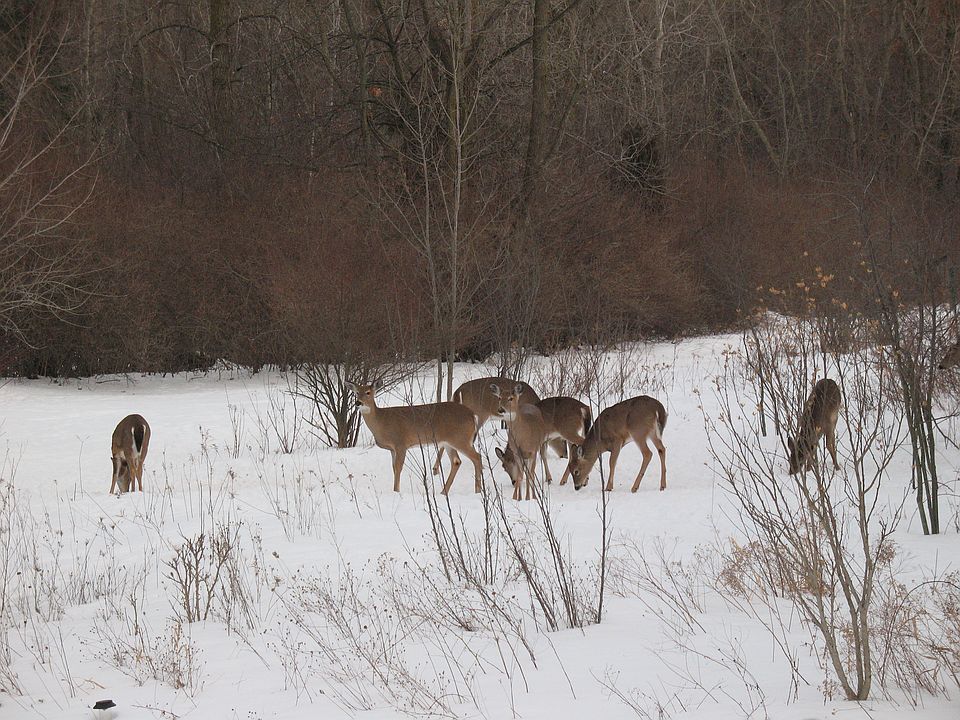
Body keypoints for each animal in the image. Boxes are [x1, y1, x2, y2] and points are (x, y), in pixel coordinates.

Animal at [349, 382, 483, 494]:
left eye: (368, 392)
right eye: (356, 392)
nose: (358, 402)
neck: (382, 422)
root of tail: (472, 415)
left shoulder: (401, 443)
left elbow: (398, 468)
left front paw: (396, 491)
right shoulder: (392, 449)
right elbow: (394, 468)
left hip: (460, 438)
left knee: (477, 457)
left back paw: (477, 491)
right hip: (449, 442)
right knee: (456, 461)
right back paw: (443, 492)